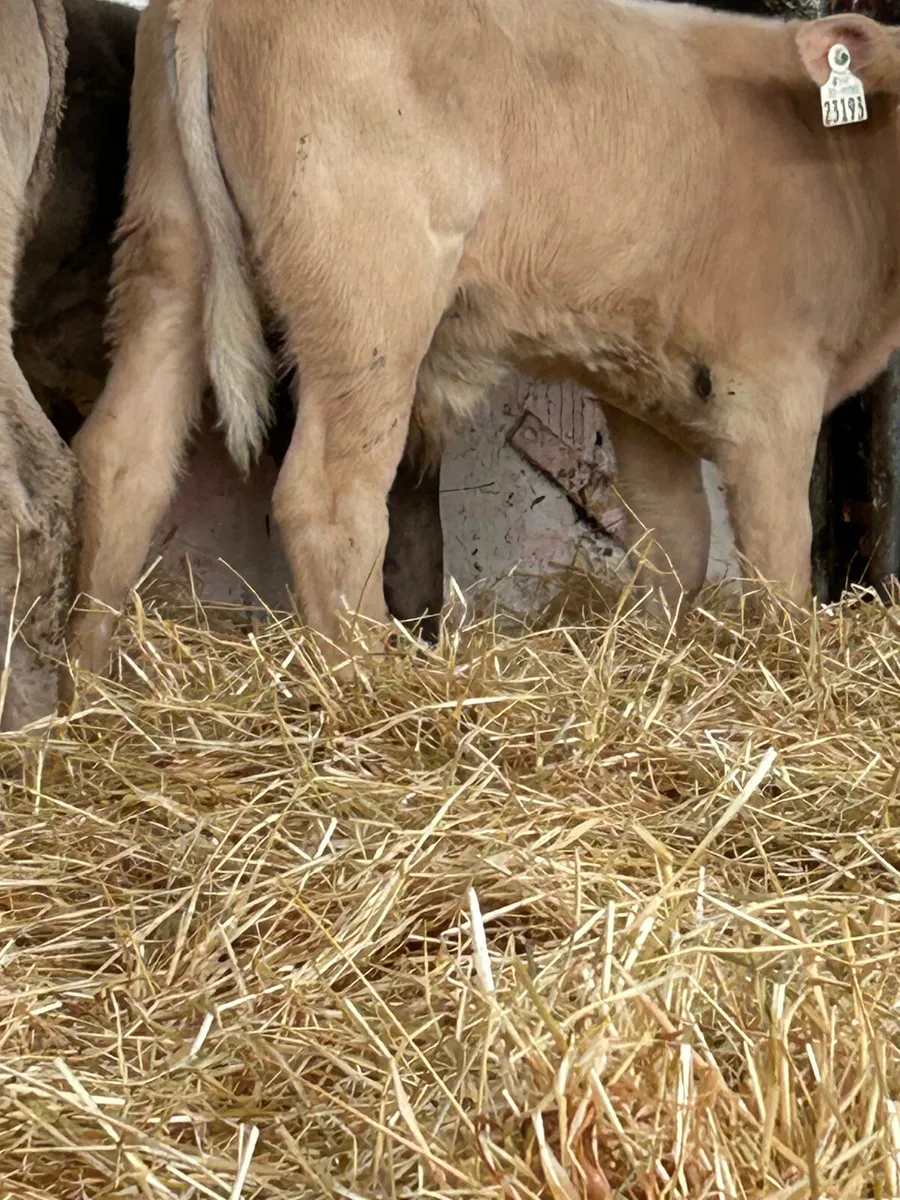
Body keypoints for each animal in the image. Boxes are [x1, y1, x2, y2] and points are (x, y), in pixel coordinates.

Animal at [69, 0, 900, 676]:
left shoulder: (646, 385)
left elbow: (675, 541)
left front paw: (656, 654)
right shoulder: (770, 390)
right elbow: (779, 559)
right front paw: (791, 670)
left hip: (167, 239)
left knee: (124, 456)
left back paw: (88, 688)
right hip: (370, 284)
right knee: (330, 499)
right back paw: (372, 692)